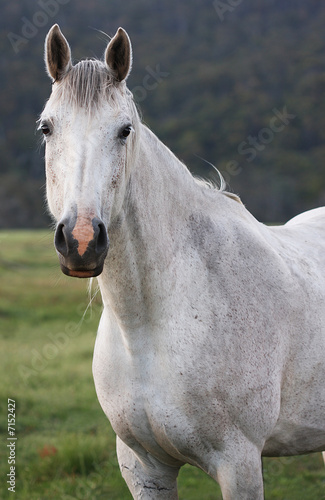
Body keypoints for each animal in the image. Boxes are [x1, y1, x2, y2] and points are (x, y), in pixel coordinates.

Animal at [40, 25, 324, 498]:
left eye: (125, 130)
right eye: (46, 128)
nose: (81, 241)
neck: (149, 327)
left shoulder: (240, 464)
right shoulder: (143, 468)